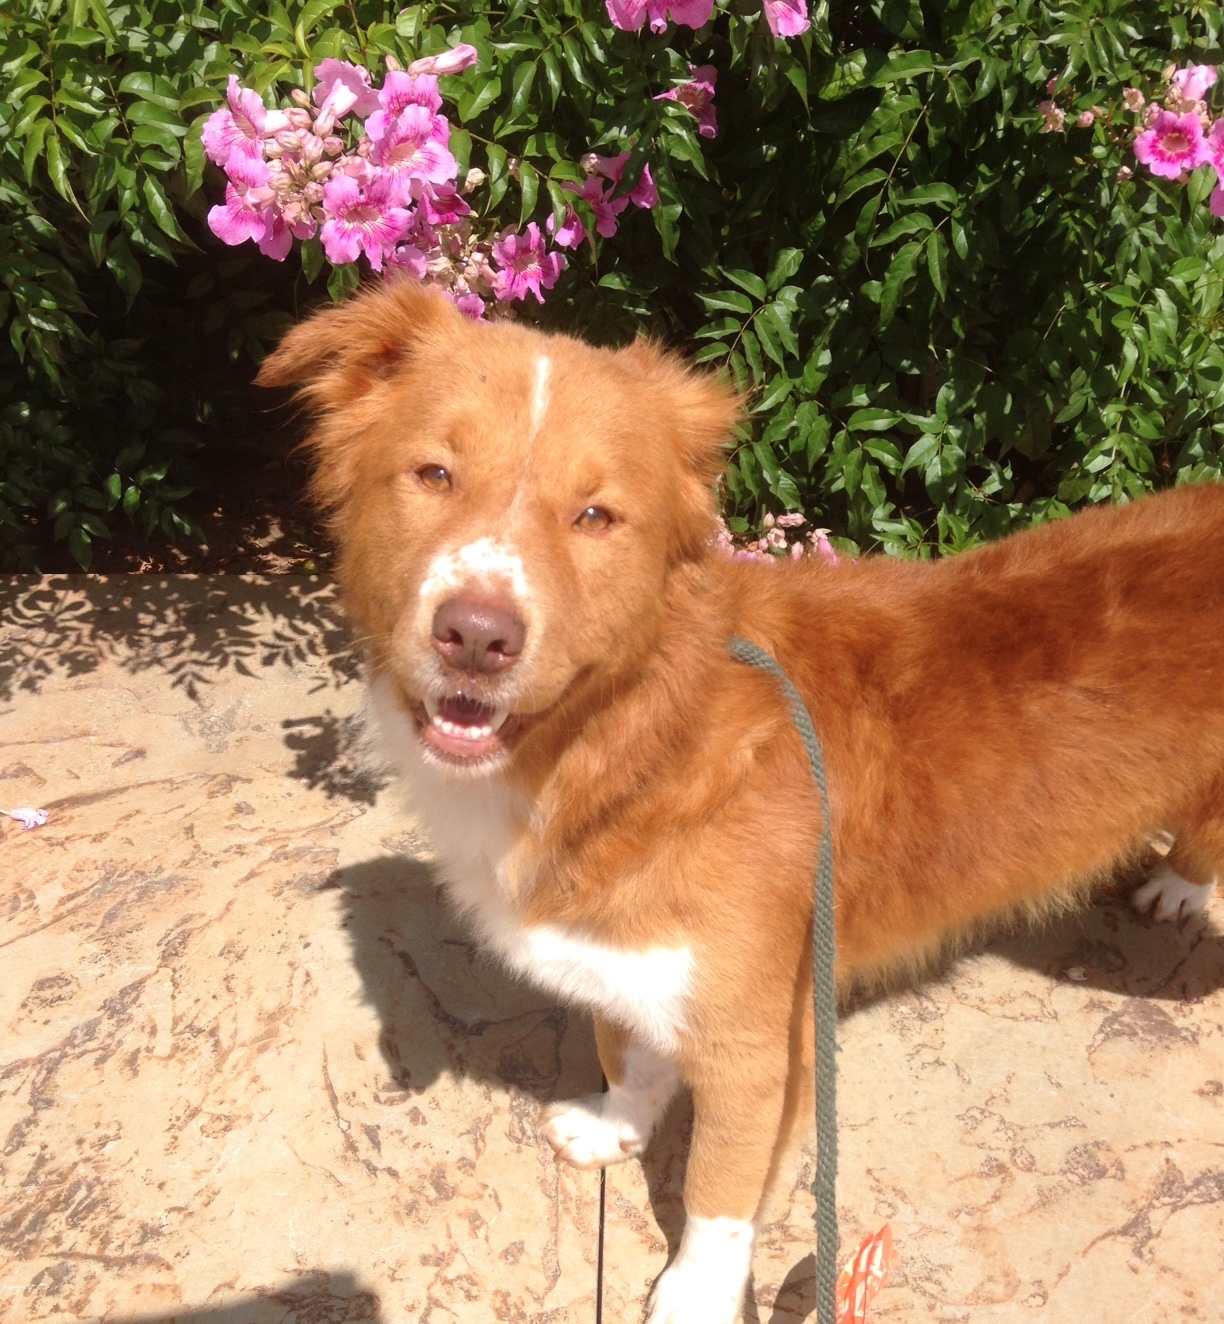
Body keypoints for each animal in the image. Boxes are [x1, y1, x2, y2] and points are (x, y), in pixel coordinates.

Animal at [258, 282, 1224, 1324]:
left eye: (597, 515)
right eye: (433, 473)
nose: (476, 637)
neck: (632, 743)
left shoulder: (765, 1047)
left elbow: (719, 1191)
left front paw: (696, 1292)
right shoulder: (641, 969)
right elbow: (631, 1052)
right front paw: (616, 1129)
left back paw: (1182, 886)